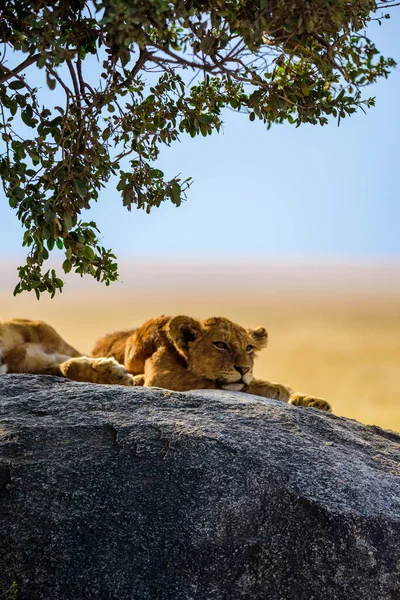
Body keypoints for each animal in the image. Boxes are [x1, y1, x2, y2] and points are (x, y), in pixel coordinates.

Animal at [0, 314, 332, 412]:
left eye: (249, 348)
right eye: (220, 345)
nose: (244, 367)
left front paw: (310, 400)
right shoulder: (162, 379)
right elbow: (225, 383)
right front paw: (275, 388)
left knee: (64, 364)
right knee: (65, 366)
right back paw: (115, 374)